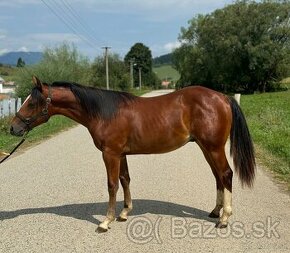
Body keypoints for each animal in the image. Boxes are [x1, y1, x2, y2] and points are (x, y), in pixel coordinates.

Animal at [10, 76, 255, 232]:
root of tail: (222, 97)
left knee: (226, 174)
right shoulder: (121, 154)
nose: (13, 128)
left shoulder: (110, 154)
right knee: (218, 177)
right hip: (206, 148)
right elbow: (125, 179)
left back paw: (224, 218)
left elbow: (112, 185)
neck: (103, 112)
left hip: (213, 148)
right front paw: (124, 213)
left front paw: (105, 222)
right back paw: (215, 211)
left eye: (31, 103)